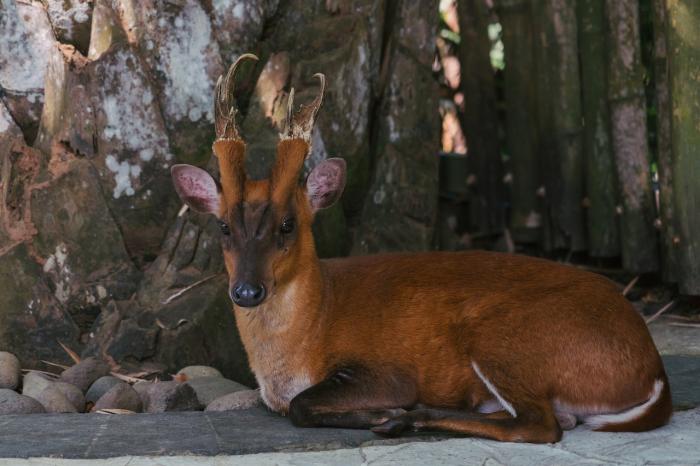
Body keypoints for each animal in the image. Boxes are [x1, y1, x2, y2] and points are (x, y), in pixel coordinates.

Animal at [170, 54, 672, 443]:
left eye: (288, 225)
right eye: (223, 227)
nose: (246, 291)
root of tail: (654, 371)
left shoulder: (387, 370)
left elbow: (301, 407)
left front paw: (385, 413)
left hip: (504, 336)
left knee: (539, 424)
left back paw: (406, 419)